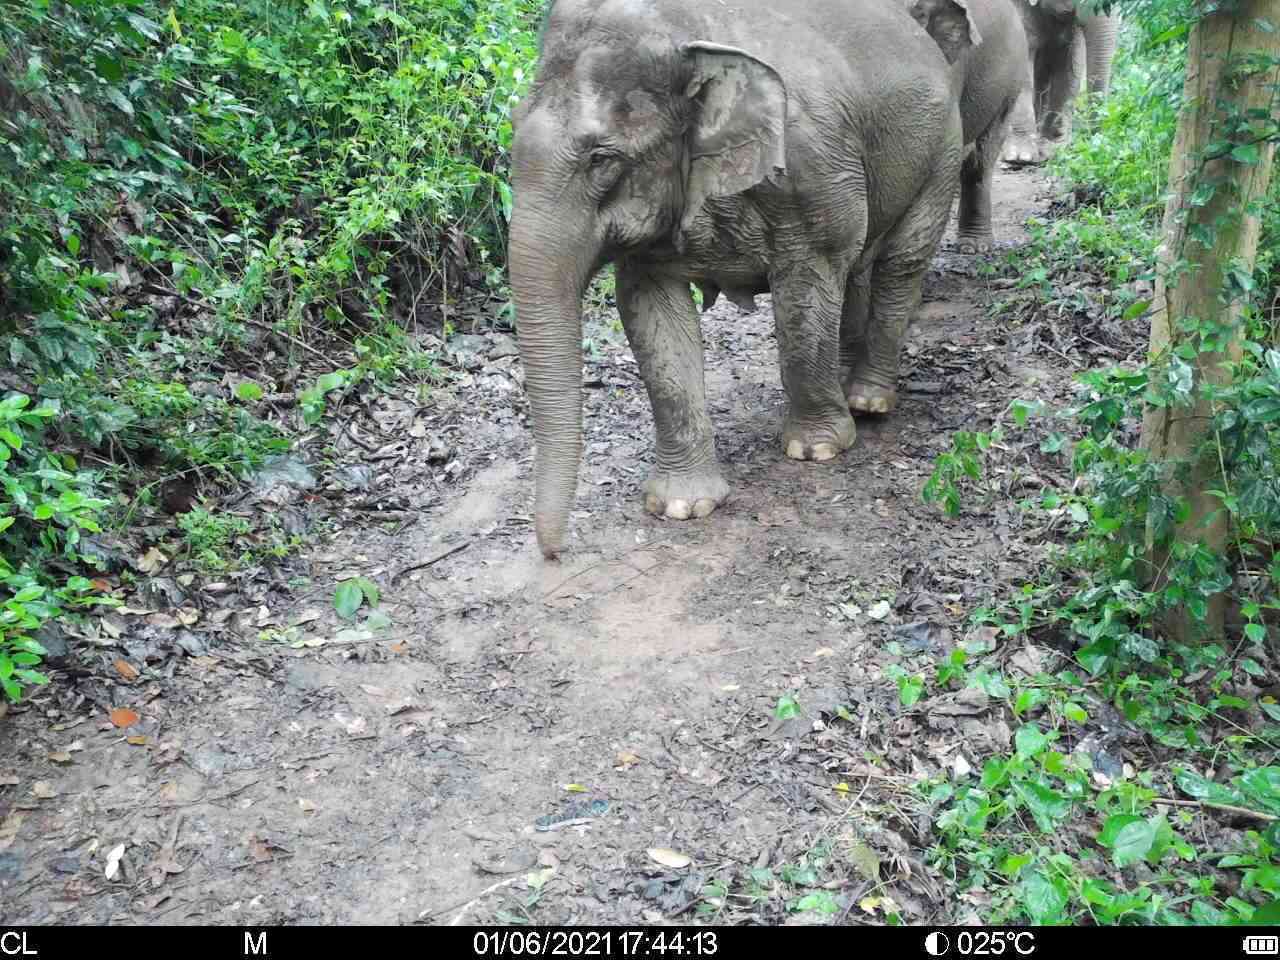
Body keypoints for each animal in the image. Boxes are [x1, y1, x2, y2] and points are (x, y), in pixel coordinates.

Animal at [504, 0, 972, 560]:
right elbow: (652, 316)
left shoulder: (814, 170)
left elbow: (806, 289)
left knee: (901, 262)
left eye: (602, 158)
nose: (553, 554)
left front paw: (817, 449)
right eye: (511, 132)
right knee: (858, 267)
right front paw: (682, 506)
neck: (690, 32)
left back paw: (867, 401)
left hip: (943, 148)